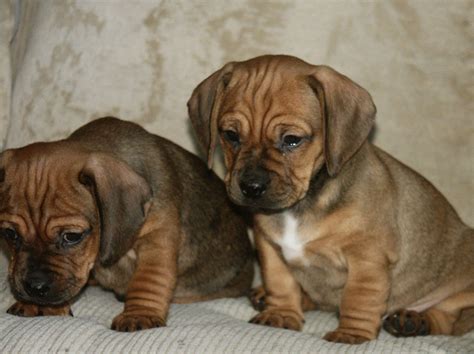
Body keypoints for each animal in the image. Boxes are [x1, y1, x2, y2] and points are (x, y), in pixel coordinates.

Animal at [0, 117, 254, 332]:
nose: (35, 287)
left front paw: (139, 314)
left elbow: (148, 279)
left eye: (72, 236)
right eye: (9, 234)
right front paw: (38, 305)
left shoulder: (157, 238)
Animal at [189, 54, 474, 342]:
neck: (300, 207)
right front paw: (281, 314)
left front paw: (351, 333)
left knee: (448, 320)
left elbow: (358, 299)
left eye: (292, 140)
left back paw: (414, 320)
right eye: (230, 135)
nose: (251, 186)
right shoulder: (269, 247)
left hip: (459, 293)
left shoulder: (367, 258)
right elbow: (281, 284)